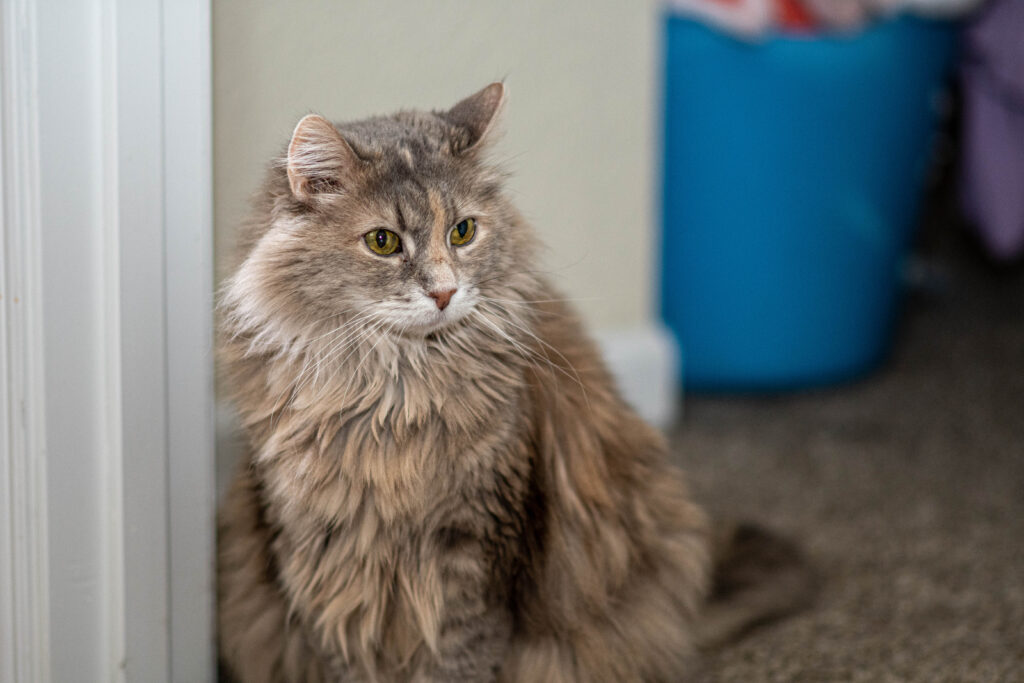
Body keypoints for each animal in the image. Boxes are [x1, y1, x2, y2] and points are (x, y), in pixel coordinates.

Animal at [218, 82, 815, 679]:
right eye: (383, 242)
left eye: (462, 231)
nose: (444, 293)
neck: (395, 395)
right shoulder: (322, 557)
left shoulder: (480, 546)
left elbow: (462, 656)